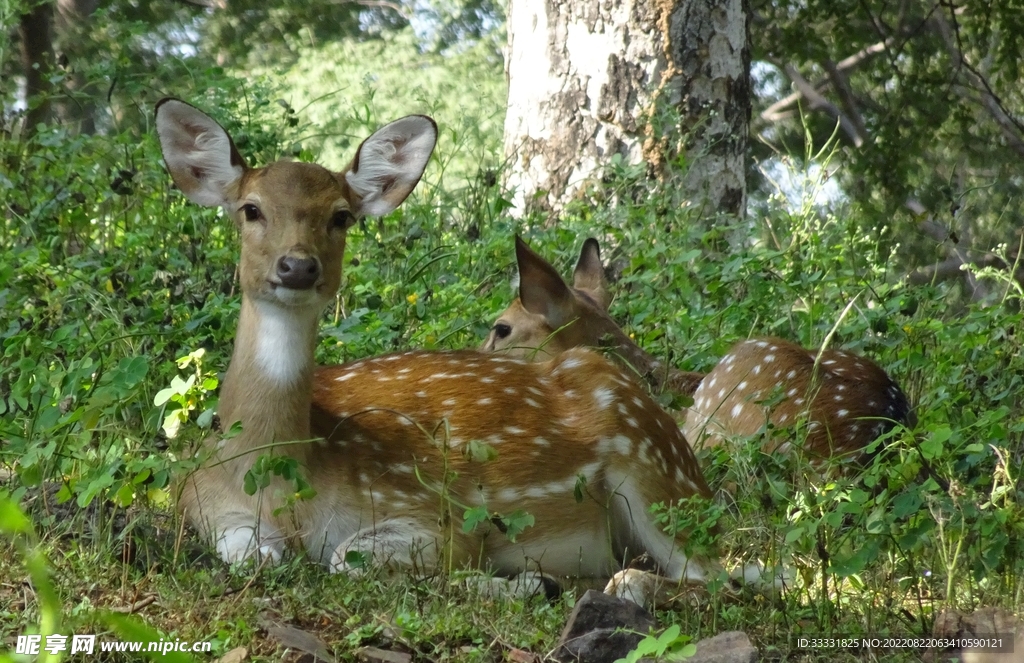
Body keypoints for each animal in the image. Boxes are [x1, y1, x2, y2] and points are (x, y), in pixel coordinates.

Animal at [156, 99, 724, 608]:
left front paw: (525, 582)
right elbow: (252, 555)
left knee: (726, 575)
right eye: (250, 209)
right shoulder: (199, 502)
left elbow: (347, 558)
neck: (278, 481)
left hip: (654, 472)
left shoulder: (432, 510)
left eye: (341, 217)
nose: (297, 266)